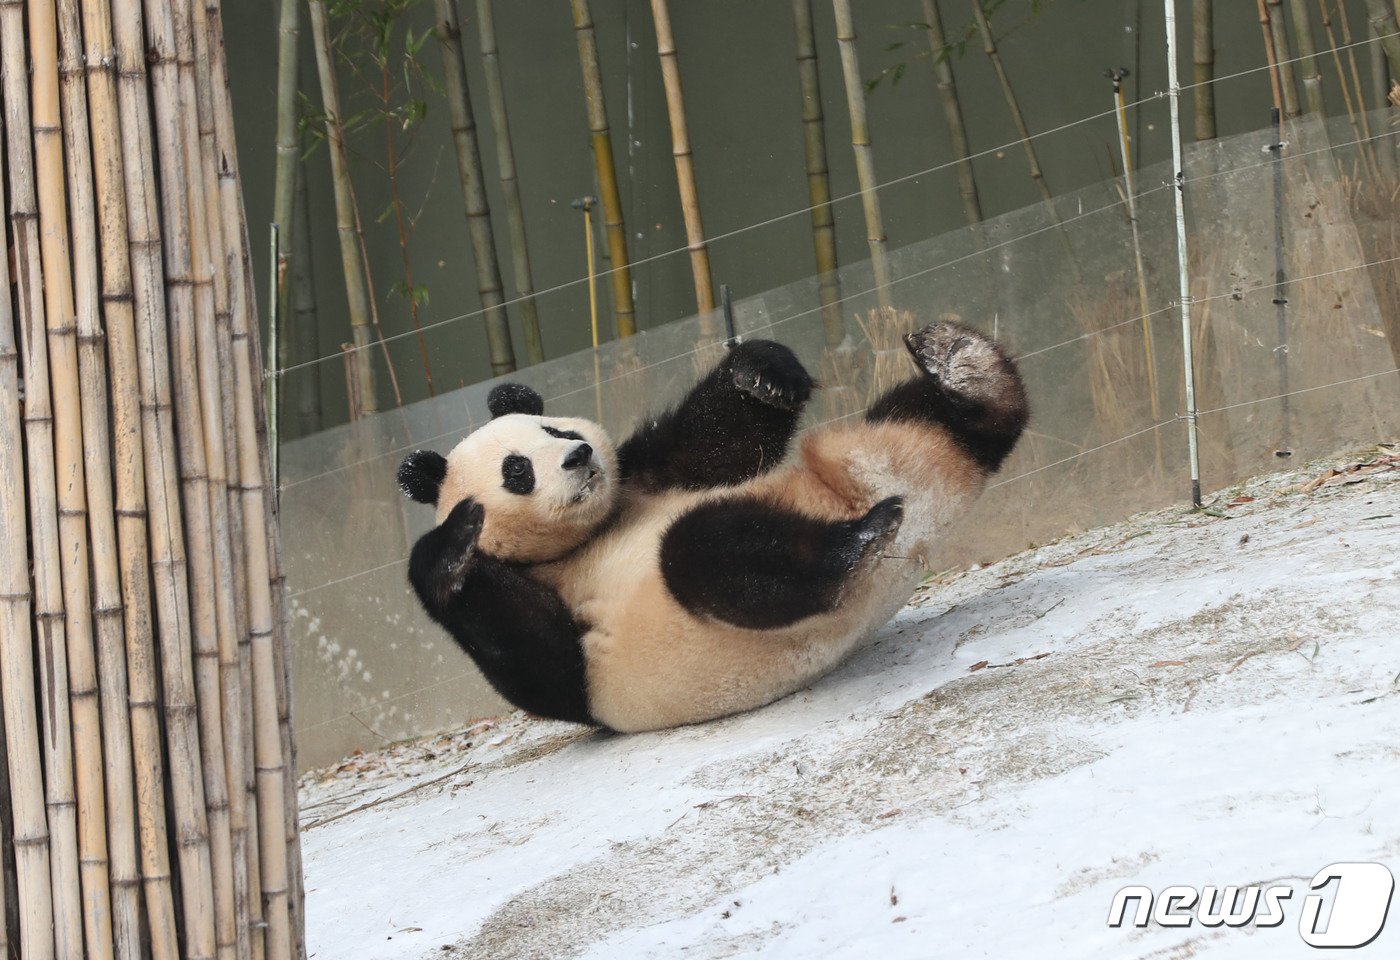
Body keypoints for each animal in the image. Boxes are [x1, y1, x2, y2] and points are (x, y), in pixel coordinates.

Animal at [394, 319, 1030, 733]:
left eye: (556, 430)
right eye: (517, 470)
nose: (578, 457)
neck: (588, 535)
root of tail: (917, 507)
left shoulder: (643, 475)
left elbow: (718, 440)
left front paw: (765, 372)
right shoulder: (565, 626)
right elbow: (541, 663)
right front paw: (454, 540)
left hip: (879, 446)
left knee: (946, 418)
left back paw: (966, 366)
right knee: (713, 558)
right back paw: (856, 542)